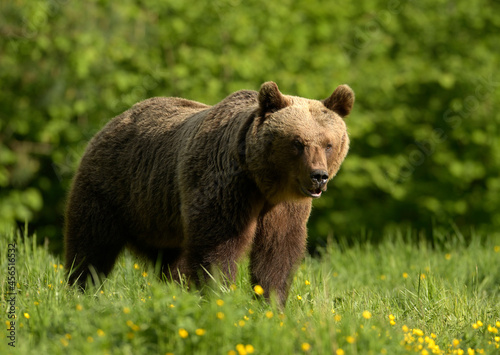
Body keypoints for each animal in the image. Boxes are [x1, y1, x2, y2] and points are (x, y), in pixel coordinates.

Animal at [66, 80, 354, 306]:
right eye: (298, 142)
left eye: (328, 143)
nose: (318, 176)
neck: (262, 182)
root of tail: (113, 121)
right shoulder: (227, 188)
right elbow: (218, 247)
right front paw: (219, 294)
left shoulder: (284, 207)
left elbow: (277, 252)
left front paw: (271, 303)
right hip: (110, 190)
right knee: (91, 246)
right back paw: (81, 290)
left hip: (158, 215)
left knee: (168, 261)